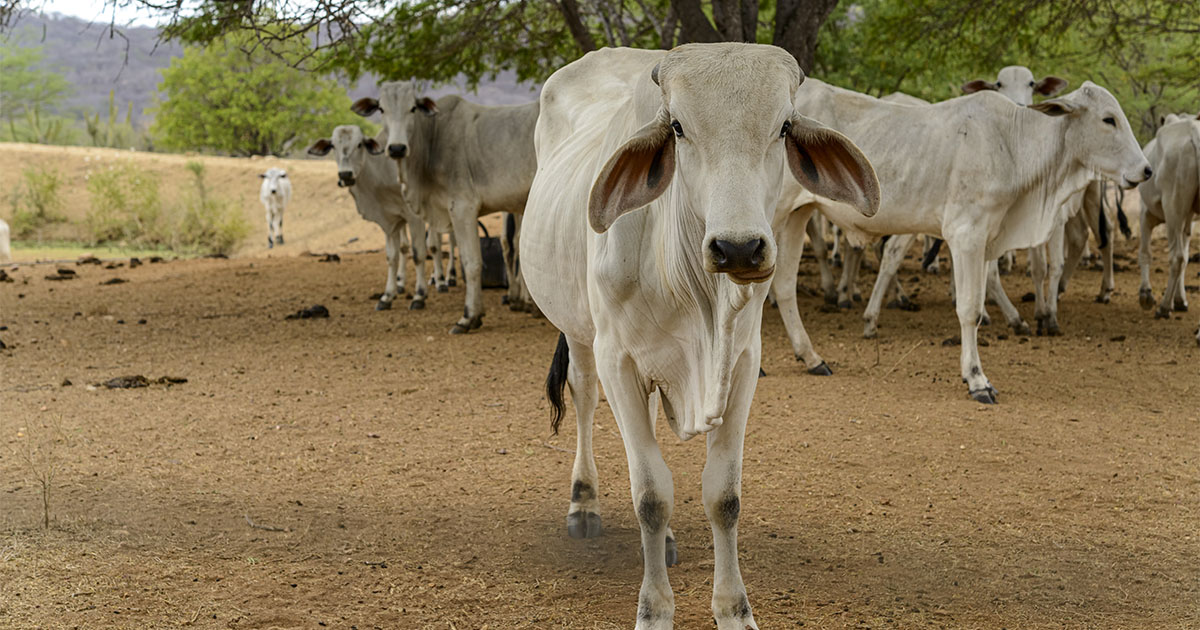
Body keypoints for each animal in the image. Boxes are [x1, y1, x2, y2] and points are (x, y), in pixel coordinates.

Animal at [309, 124, 432, 309]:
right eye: (333, 145)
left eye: (360, 144)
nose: (345, 175)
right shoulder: (391, 221)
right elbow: (392, 256)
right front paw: (387, 296)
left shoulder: (414, 217)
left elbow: (418, 254)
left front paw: (419, 296)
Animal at [520, 45, 878, 628]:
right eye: (678, 127)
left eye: (783, 126)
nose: (738, 248)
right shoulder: (618, 360)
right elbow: (650, 494)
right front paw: (654, 611)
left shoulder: (742, 362)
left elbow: (723, 496)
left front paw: (734, 610)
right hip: (579, 333)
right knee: (584, 397)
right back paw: (584, 501)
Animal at [1137, 111, 1195, 343]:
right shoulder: (1187, 220)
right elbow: (1187, 257)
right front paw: (1180, 301)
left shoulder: (1145, 213)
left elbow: (1145, 253)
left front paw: (1146, 295)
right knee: (1180, 257)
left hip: (1172, 207)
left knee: (1175, 257)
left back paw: (1162, 307)